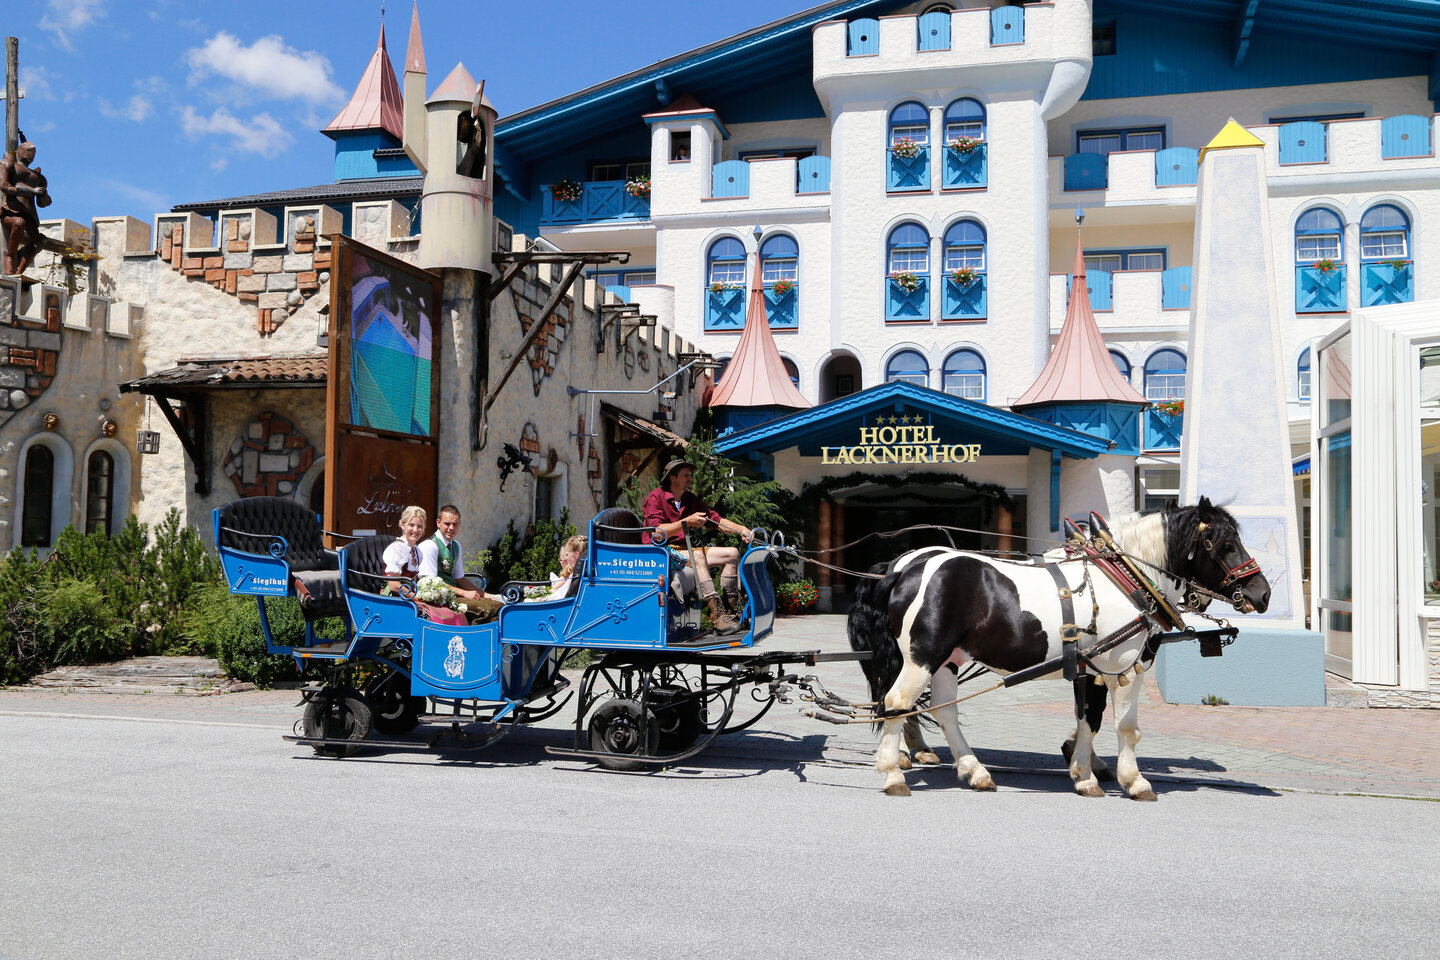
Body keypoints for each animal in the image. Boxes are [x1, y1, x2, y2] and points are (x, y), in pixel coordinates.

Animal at [840, 500, 1272, 800]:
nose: (1262, 593)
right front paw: (1134, 781)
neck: (1124, 576)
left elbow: (1089, 720)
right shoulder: (1124, 668)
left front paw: (1083, 772)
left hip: (948, 660)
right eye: (1225, 543)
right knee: (897, 702)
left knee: (943, 711)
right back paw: (894, 773)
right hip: (922, 657)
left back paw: (974, 771)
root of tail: (902, 571)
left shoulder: (1091, 669)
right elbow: (1125, 727)